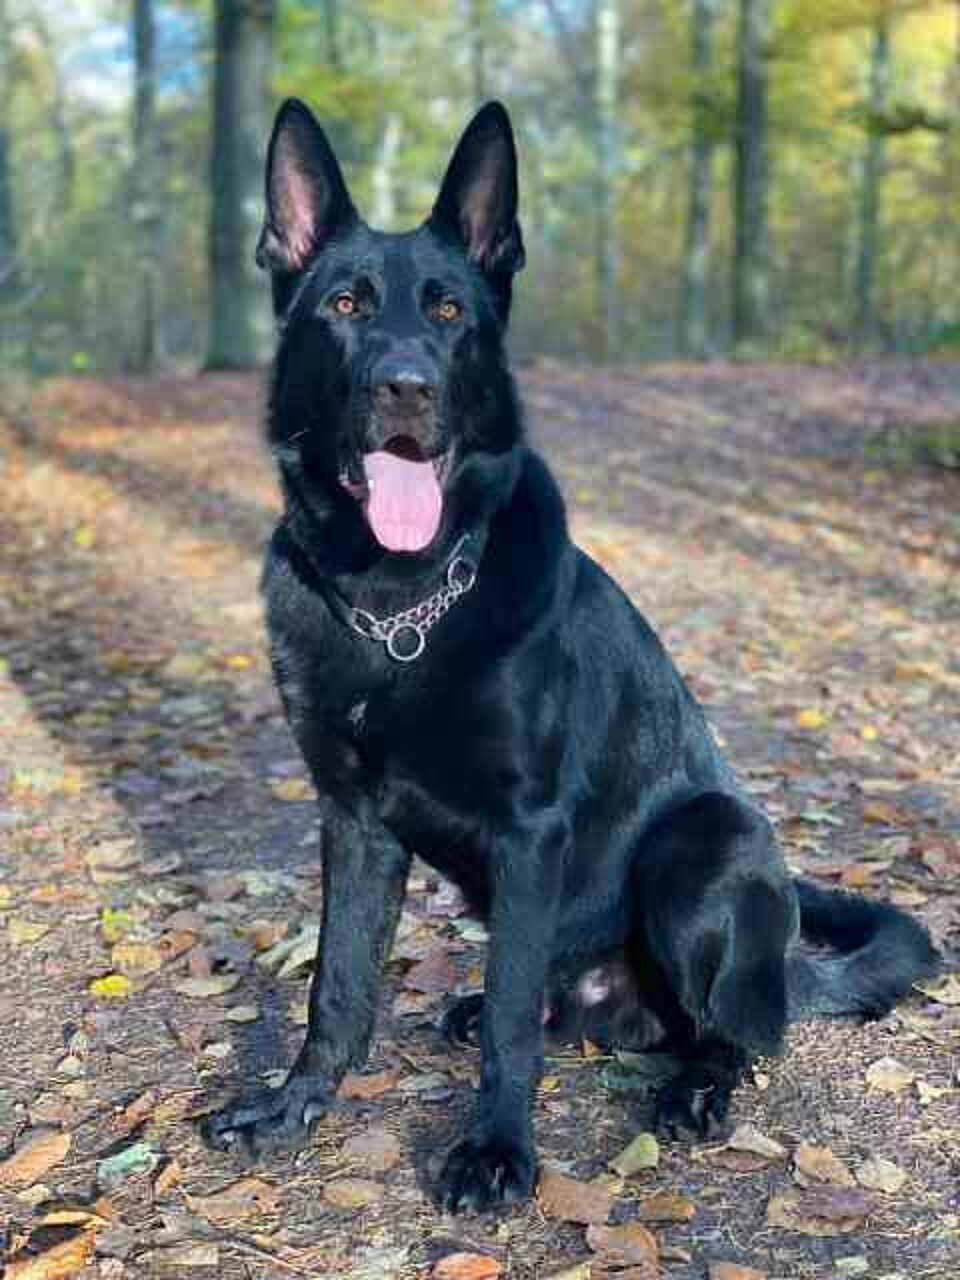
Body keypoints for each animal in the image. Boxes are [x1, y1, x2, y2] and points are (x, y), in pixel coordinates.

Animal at [204, 98, 939, 1212]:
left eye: (449, 311)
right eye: (344, 302)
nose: (406, 387)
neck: (400, 606)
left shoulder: (530, 830)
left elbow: (512, 1021)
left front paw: (496, 1149)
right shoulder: (354, 822)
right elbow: (338, 984)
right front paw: (293, 1106)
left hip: (703, 842)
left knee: (728, 1034)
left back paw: (695, 1087)